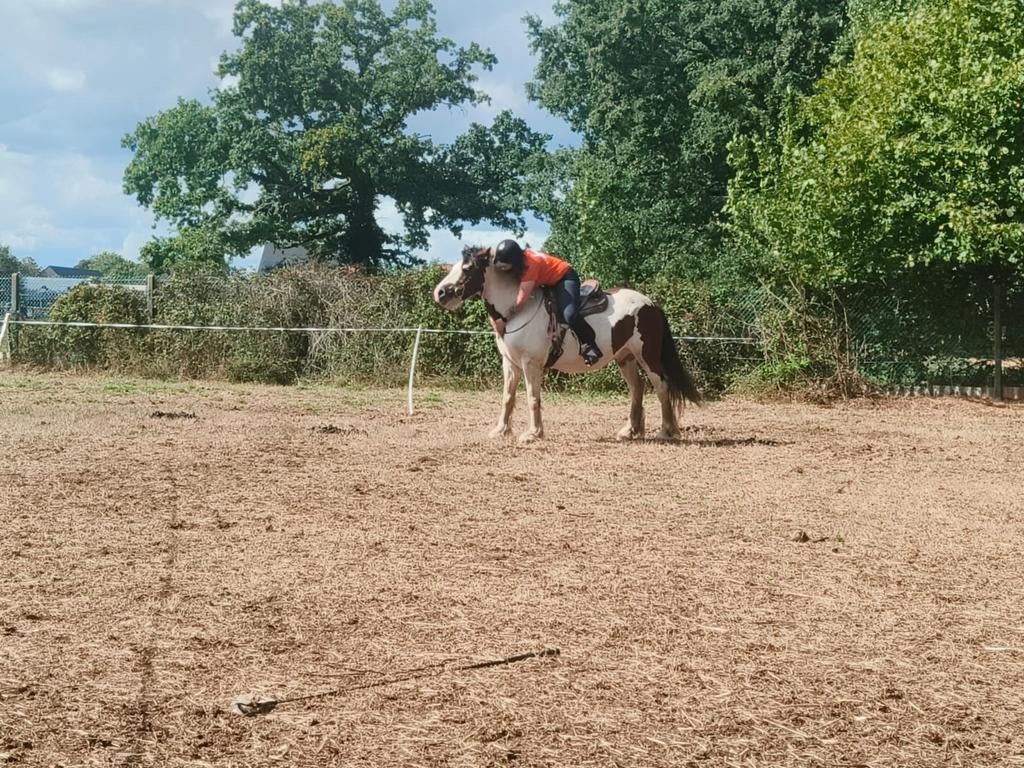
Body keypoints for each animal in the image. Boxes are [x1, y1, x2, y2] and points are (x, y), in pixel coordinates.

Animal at [433, 246, 702, 443]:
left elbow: (532, 397)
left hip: (648, 356)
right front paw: (500, 431)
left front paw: (533, 434)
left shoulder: (531, 364)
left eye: (467, 268)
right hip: (625, 357)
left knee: (661, 386)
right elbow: (508, 397)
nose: (440, 293)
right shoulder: (511, 364)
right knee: (637, 389)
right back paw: (630, 431)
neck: (518, 310)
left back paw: (667, 431)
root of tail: (652, 304)